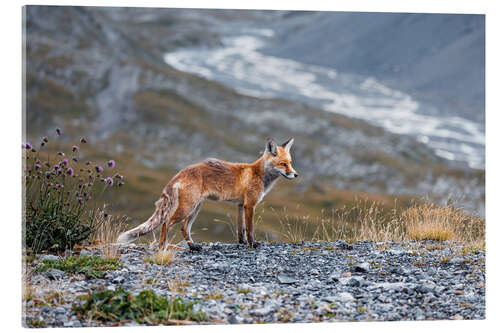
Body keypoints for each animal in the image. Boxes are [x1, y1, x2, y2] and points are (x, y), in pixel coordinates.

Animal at [117, 137, 296, 249]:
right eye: (283, 164)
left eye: (290, 163)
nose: (296, 175)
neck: (258, 174)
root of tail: (182, 172)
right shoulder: (249, 205)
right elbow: (250, 229)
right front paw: (252, 245)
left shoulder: (240, 205)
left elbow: (241, 230)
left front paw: (242, 243)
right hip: (188, 208)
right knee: (166, 223)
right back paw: (163, 247)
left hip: (196, 208)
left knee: (184, 228)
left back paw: (193, 247)